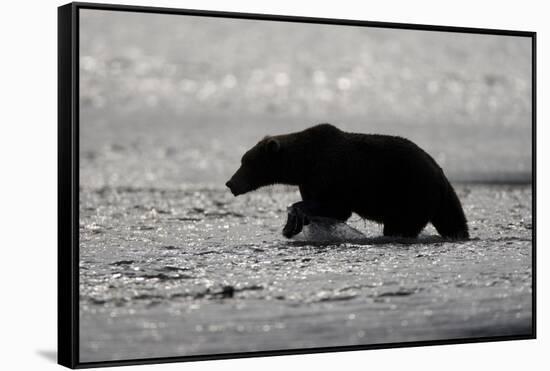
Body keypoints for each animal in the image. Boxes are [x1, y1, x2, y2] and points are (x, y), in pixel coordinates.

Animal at [224, 124, 470, 241]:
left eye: (246, 162)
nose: (230, 183)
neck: (304, 162)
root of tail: (440, 174)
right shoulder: (309, 181)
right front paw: (292, 226)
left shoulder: (331, 173)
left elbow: (336, 206)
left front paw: (293, 218)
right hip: (434, 197)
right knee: (452, 219)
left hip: (410, 191)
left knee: (403, 224)